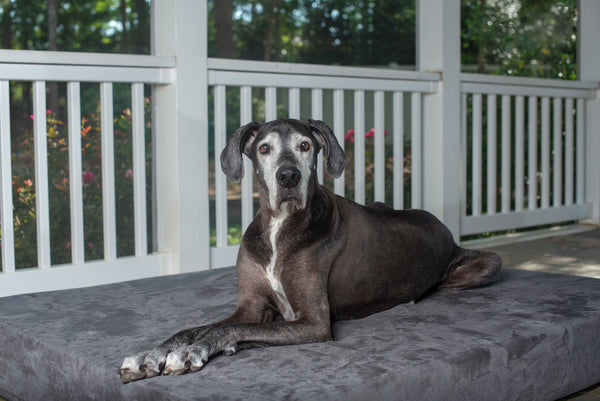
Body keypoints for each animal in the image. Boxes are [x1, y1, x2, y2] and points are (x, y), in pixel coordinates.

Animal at [118, 118, 502, 382]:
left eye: (305, 146)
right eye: (264, 149)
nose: (288, 177)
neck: (279, 228)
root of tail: (445, 228)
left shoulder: (314, 323)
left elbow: (224, 331)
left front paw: (194, 351)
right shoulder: (251, 306)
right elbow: (192, 328)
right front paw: (150, 354)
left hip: (489, 264)